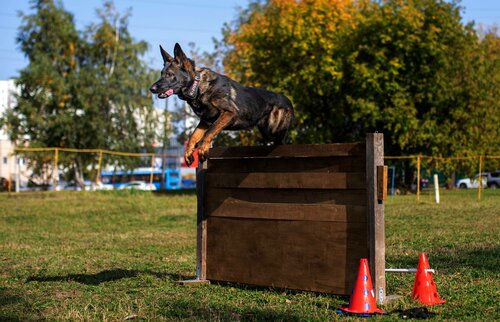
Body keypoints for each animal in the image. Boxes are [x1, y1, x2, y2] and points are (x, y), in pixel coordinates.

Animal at [150, 43, 294, 166]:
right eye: (162, 74)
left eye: (170, 74)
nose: (151, 89)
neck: (198, 86)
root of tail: (287, 100)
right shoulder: (205, 121)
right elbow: (193, 136)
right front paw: (188, 153)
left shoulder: (228, 113)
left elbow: (210, 131)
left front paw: (203, 148)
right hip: (267, 133)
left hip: (276, 130)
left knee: (284, 140)